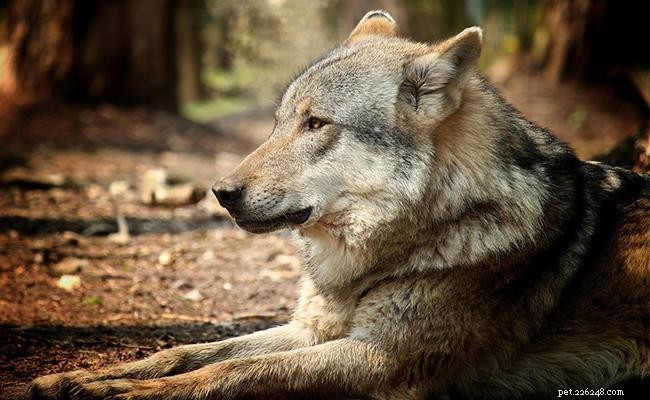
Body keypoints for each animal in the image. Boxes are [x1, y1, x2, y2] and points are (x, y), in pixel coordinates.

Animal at [30, 10, 649, 400]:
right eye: (280, 122)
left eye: (316, 124)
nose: (221, 192)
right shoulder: (309, 329)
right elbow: (191, 352)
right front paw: (89, 377)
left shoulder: (383, 357)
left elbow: (236, 370)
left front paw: (121, 391)